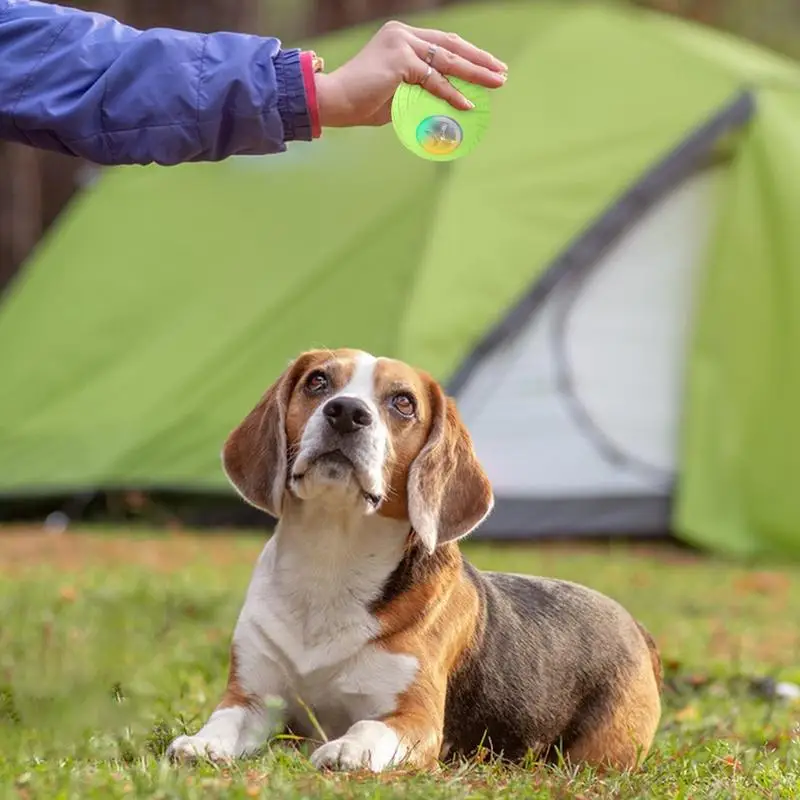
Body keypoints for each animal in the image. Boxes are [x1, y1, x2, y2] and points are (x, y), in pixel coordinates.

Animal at [166, 348, 660, 768]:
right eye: (317, 381)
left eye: (403, 402)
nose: (346, 412)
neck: (331, 560)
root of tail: (634, 624)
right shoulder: (252, 697)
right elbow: (225, 720)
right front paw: (201, 743)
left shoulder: (415, 720)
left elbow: (367, 727)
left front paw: (346, 750)